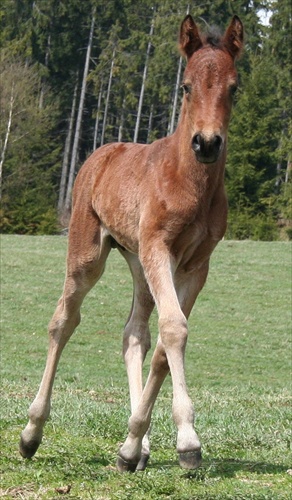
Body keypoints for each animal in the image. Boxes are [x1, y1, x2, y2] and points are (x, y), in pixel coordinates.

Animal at [19, 13, 244, 470]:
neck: (190, 183)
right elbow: (174, 328)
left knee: (134, 333)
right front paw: (187, 440)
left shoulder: (196, 264)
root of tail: (100, 152)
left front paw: (134, 442)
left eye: (234, 87)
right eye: (186, 86)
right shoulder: (160, 248)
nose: (207, 143)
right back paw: (31, 433)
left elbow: (162, 340)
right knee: (63, 321)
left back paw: (138, 449)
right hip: (89, 255)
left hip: (139, 264)